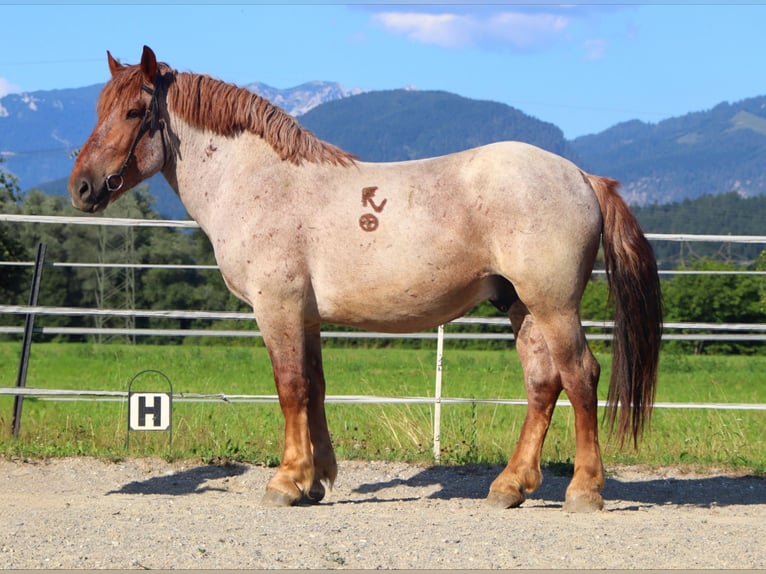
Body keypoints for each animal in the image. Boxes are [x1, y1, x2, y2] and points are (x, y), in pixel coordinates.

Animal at [69, 46, 662, 512]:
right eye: (98, 110)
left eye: (132, 111)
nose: (81, 186)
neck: (261, 182)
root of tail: (580, 175)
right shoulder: (305, 316)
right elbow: (314, 388)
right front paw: (315, 481)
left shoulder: (277, 307)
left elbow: (289, 387)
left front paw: (285, 482)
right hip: (522, 307)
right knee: (543, 383)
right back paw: (509, 487)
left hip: (553, 304)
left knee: (581, 376)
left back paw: (584, 491)